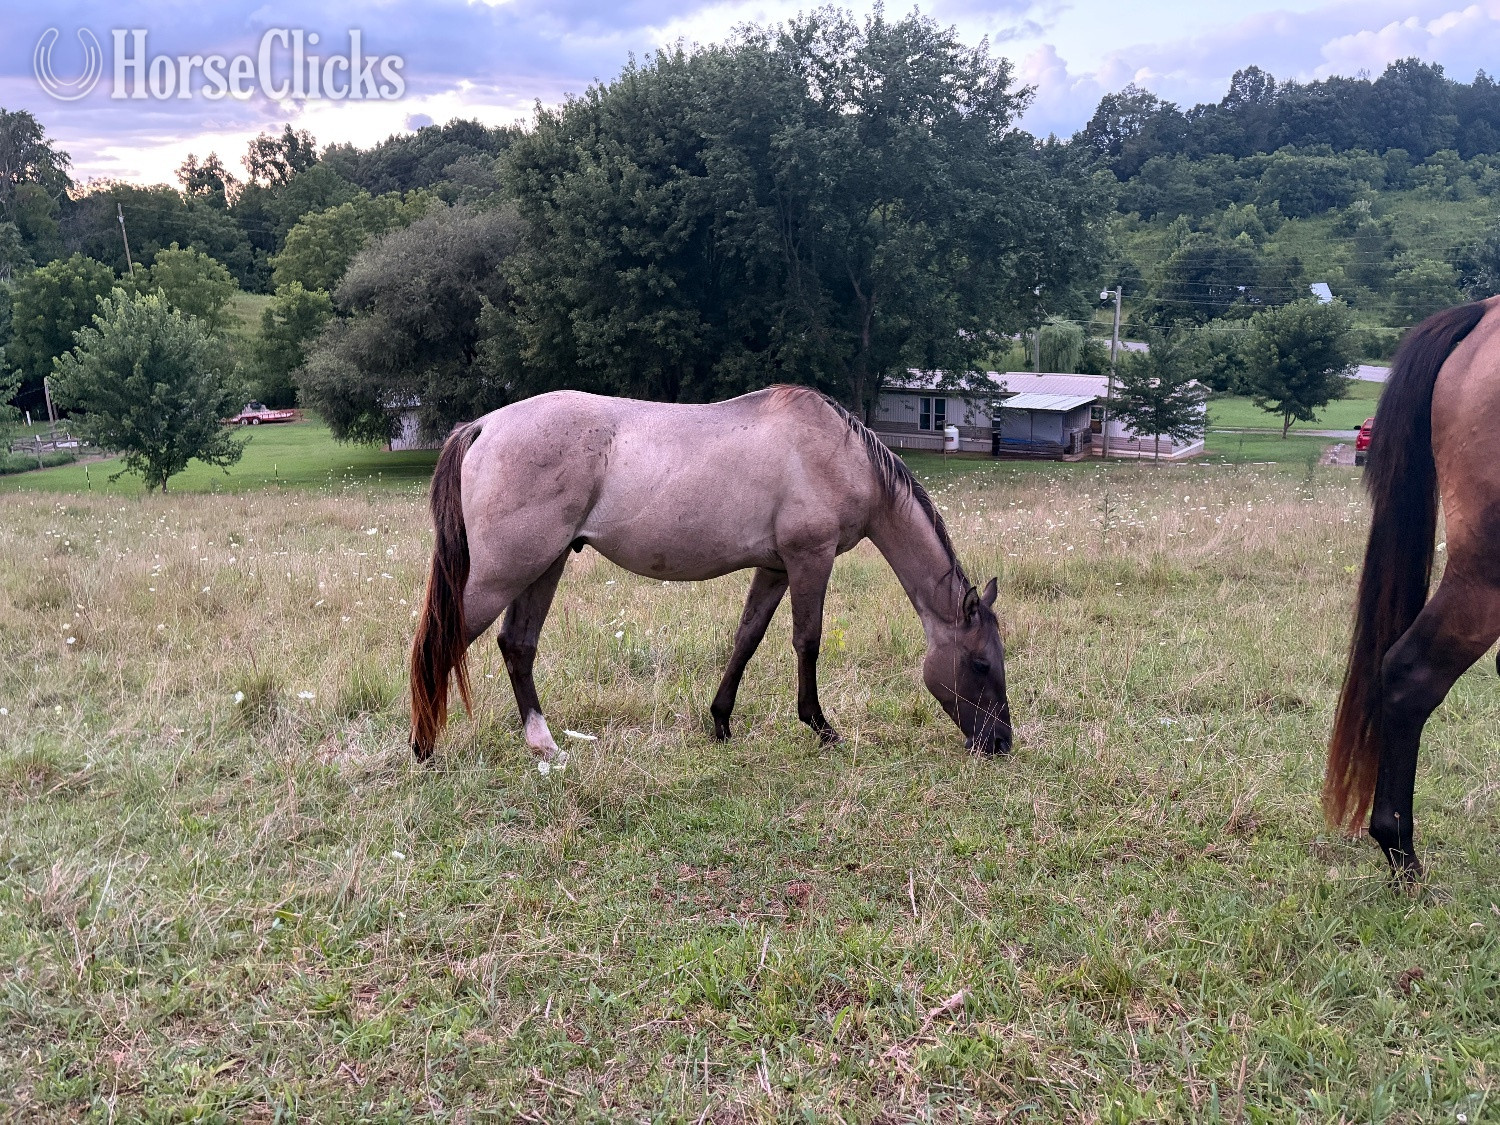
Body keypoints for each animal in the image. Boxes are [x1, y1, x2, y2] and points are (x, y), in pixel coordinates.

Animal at [408, 384, 1013, 765]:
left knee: (517, 644)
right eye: (981, 664)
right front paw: (820, 727)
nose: (1000, 742)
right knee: (442, 642)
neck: (839, 454)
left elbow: (747, 639)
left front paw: (721, 722)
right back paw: (423, 747)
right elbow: (807, 641)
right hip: (505, 571)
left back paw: (544, 745)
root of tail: (485, 424)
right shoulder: (809, 559)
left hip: (544, 564)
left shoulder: (774, 567)